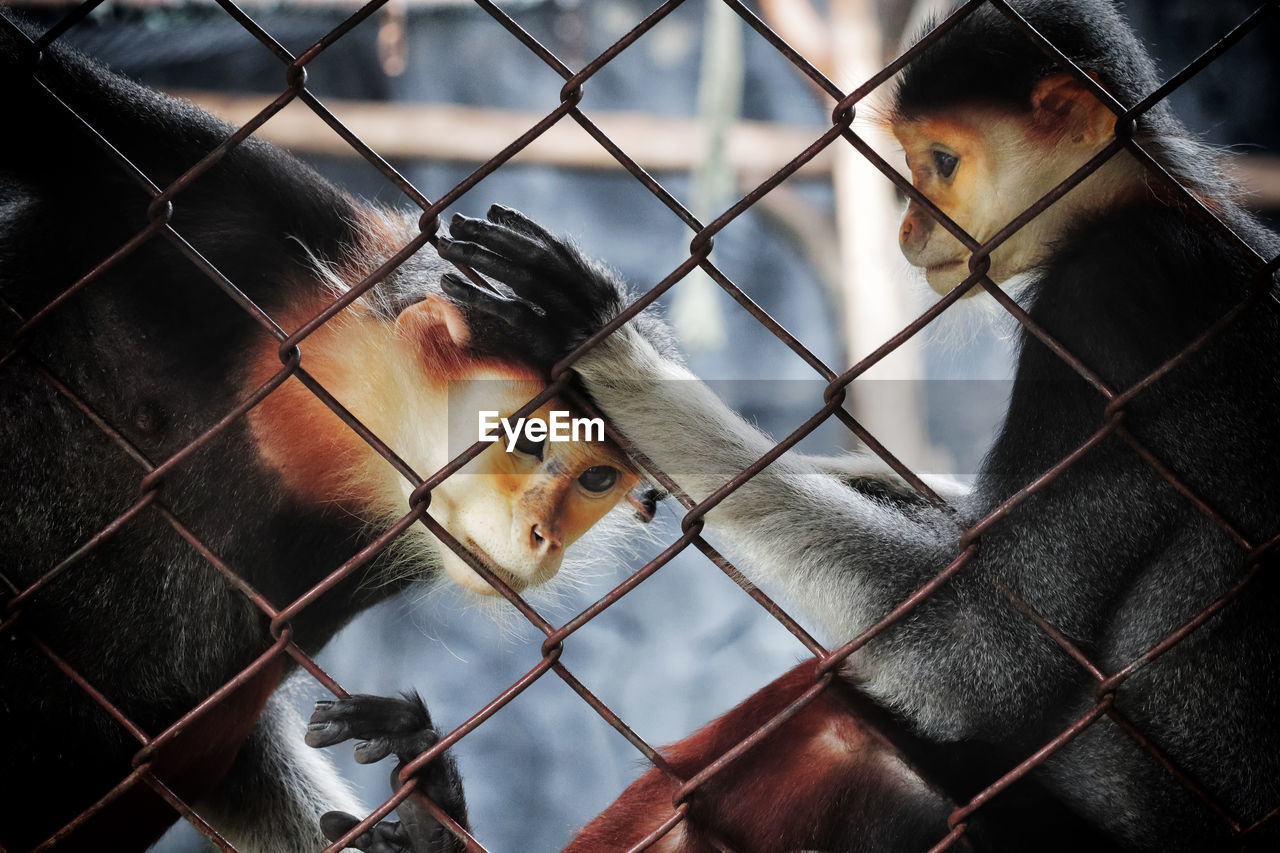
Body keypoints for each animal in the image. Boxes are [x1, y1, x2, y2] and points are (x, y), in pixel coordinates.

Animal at [2, 18, 650, 850]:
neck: (323, 416)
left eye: (596, 478)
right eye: (531, 439)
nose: (546, 536)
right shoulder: (232, 199)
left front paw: (425, 811)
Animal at [430, 3, 1280, 845]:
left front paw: (609, 348)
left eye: (942, 163)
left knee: (847, 722)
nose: (908, 229)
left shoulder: (1113, 307)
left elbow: (984, 652)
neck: (1146, 201)